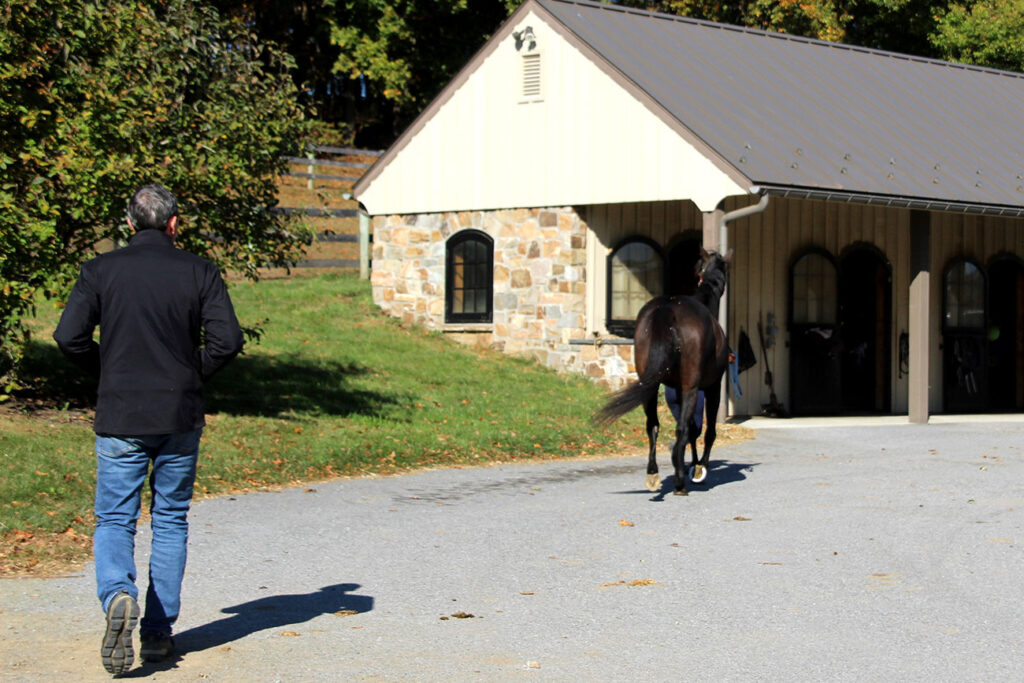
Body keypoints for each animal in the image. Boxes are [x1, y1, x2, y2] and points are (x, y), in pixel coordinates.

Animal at [596, 248, 732, 496]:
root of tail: (668, 308)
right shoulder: (712, 386)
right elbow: (707, 431)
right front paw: (700, 468)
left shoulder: (678, 389)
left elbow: (693, 430)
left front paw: (692, 466)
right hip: (691, 388)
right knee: (681, 429)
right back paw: (680, 482)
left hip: (650, 386)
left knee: (653, 426)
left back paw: (654, 474)